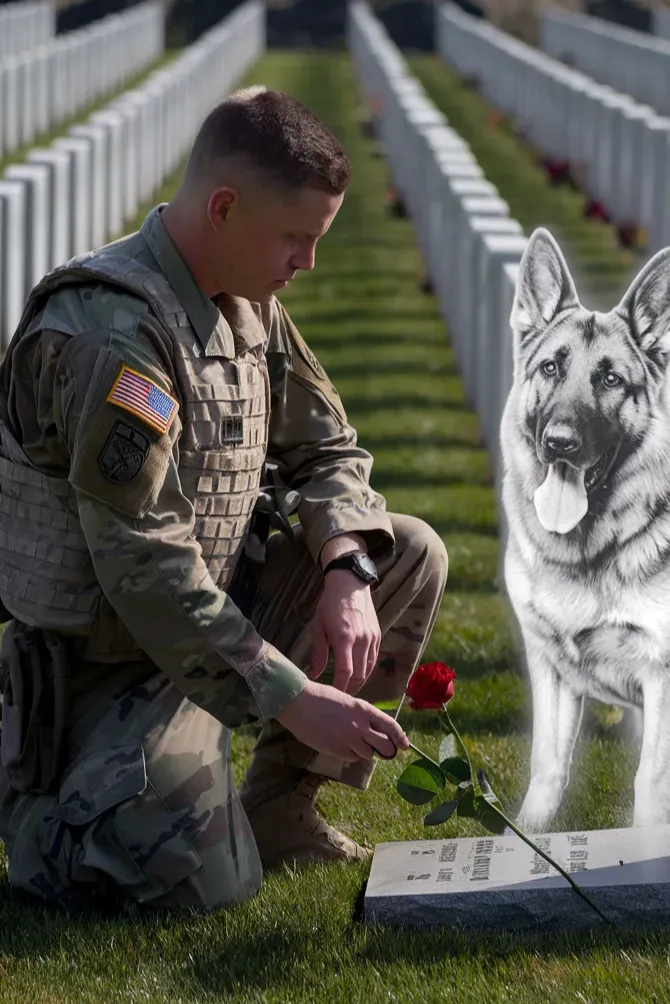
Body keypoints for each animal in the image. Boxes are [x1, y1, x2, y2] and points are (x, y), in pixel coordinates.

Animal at [500, 227, 670, 831]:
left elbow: (650, 784)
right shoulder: (549, 665)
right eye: (551, 368)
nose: (560, 444)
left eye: (611, 380)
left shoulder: (662, 677)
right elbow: (547, 764)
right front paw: (527, 837)